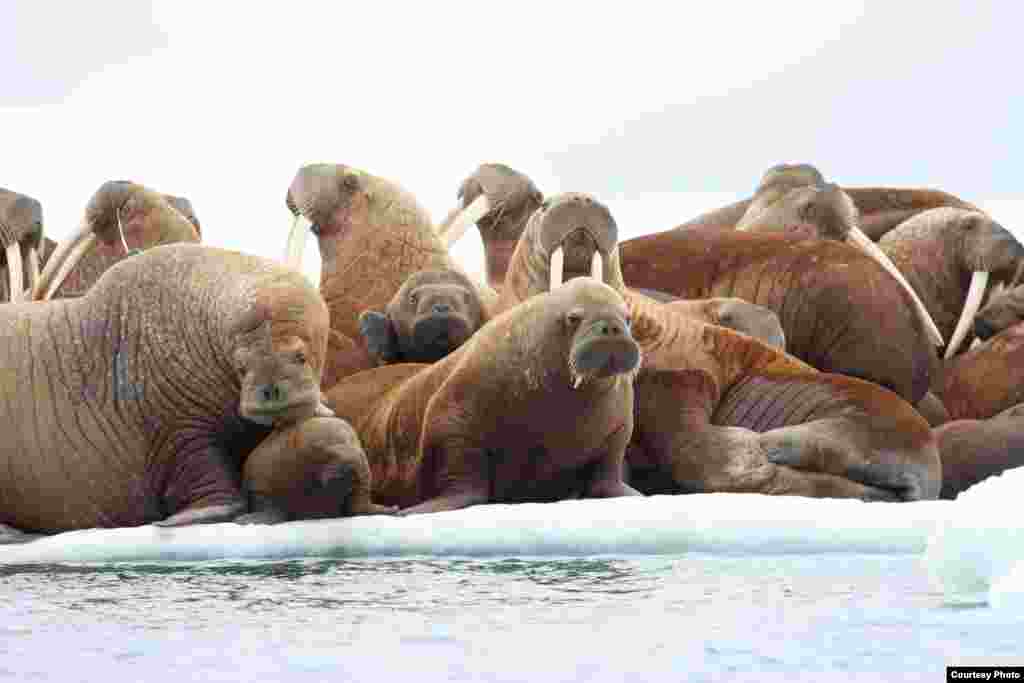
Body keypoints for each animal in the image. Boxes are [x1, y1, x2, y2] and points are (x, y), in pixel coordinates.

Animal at [321, 274, 638, 516]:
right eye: (574, 318)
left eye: (627, 319)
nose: (611, 327)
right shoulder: (453, 415)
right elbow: (463, 472)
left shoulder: (618, 432)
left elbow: (607, 475)